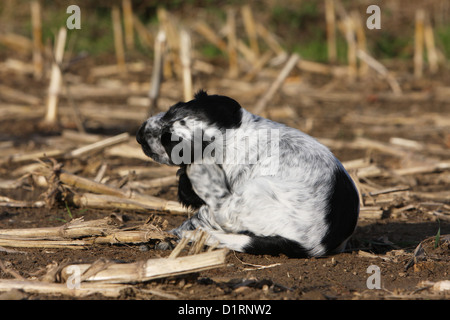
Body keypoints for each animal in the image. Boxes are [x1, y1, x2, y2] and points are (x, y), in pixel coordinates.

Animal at [135, 89, 360, 258]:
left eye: (168, 141)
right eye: (169, 111)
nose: (138, 135)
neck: (234, 136)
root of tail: (314, 246)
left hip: (251, 195)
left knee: (217, 213)